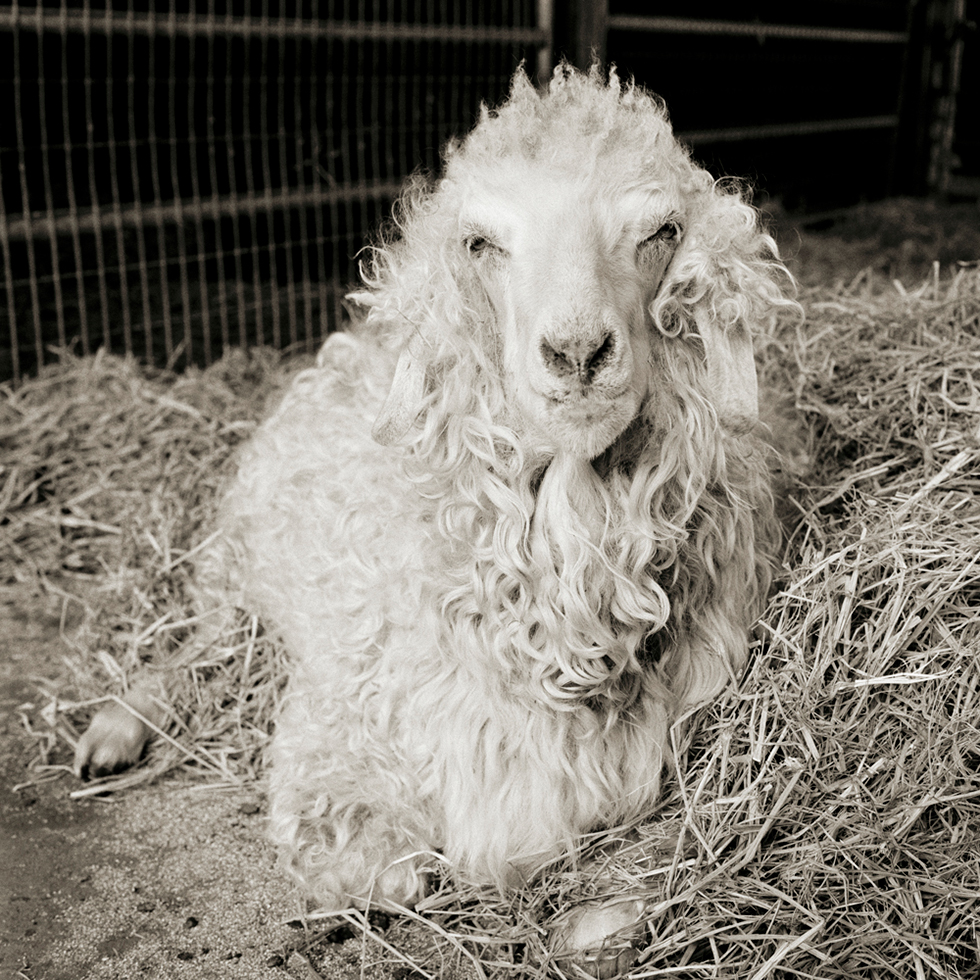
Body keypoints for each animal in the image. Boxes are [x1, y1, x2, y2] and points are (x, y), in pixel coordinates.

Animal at [74, 63, 796, 972]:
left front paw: (592, 920)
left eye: (661, 232)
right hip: (233, 567)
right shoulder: (339, 722)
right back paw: (115, 727)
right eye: (479, 243)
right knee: (200, 646)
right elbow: (384, 872)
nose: (577, 355)